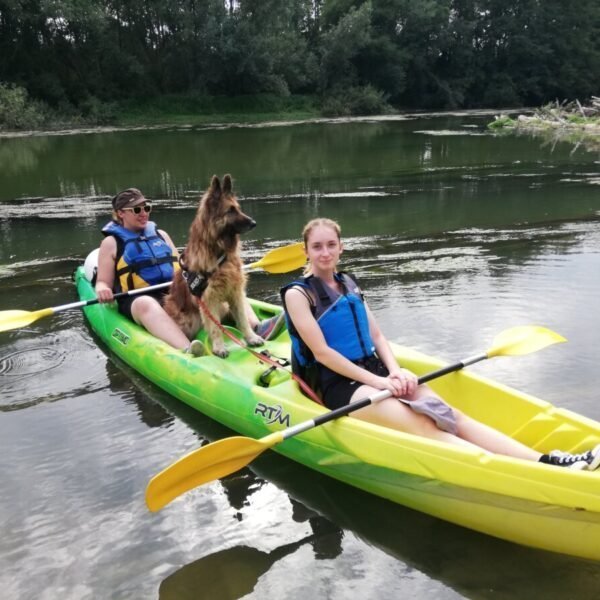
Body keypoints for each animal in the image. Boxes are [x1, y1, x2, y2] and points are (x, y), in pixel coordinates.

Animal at [165, 173, 266, 356]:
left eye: (238, 208)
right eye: (230, 211)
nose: (254, 223)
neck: (219, 252)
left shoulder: (235, 293)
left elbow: (243, 320)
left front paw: (251, 338)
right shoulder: (208, 299)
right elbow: (215, 327)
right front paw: (219, 347)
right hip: (188, 319)